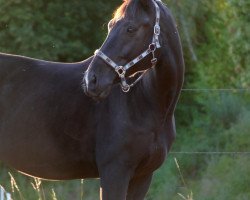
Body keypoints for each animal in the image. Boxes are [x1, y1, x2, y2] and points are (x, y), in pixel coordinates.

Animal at [0, 0, 184, 199]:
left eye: (130, 28)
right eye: (110, 25)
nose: (91, 80)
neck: (145, 103)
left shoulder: (142, 176)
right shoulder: (114, 173)